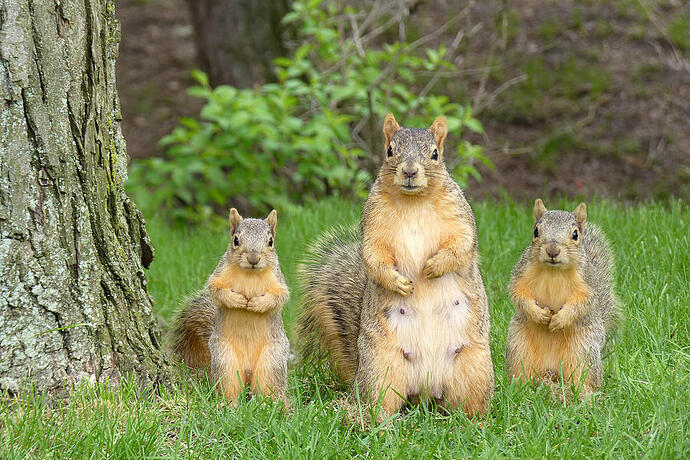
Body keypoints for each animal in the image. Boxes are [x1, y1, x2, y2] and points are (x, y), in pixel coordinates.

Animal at [173, 208, 290, 404]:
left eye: (270, 241)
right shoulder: (219, 274)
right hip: (225, 359)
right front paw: (237, 301)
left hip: (272, 360)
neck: (250, 274)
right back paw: (229, 404)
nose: (253, 258)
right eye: (236, 240)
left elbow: (279, 297)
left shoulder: (278, 280)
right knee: (229, 385)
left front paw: (257, 303)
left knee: (269, 386)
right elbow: (216, 290)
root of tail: (248, 371)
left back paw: (275, 405)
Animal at [299, 114, 494, 417]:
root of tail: (426, 392)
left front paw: (434, 266)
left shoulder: (460, 218)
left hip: (475, 369)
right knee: (381, 401)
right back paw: (377, 422)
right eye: (390, 150)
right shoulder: (373, 225)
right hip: (382, 367)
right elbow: (373, 256)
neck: (415, 202)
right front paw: (398, 282)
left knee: (468, 405)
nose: (410, 171)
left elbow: (462, 245)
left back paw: (476, 422)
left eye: (435, 154)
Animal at [505, 199, 622, 398]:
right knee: (521, 371)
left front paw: (560, 319)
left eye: (575, 234)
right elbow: (518, 294)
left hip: (583, 351)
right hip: (518, 347)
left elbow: (583, 303)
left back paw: (585, 396)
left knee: (585, 378)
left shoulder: (588, 283)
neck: (554, 271)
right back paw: (517, 390)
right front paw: (539, 314)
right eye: (536, 231)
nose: (552, 251)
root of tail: (551, 369)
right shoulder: (521, 272)